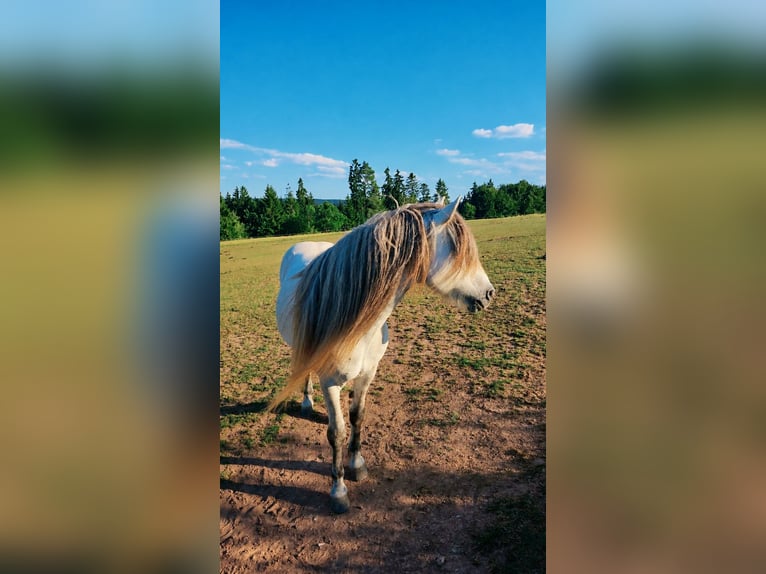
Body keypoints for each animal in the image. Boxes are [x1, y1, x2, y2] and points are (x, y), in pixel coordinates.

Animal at [269, 196, 495, 513]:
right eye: (458, 252)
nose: (490, 294)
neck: (361, 326)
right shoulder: (330, 382)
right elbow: (336, 433)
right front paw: (338, 491)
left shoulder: (368, 373)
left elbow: (357, 417)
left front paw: (357, 465)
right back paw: (306, 403)